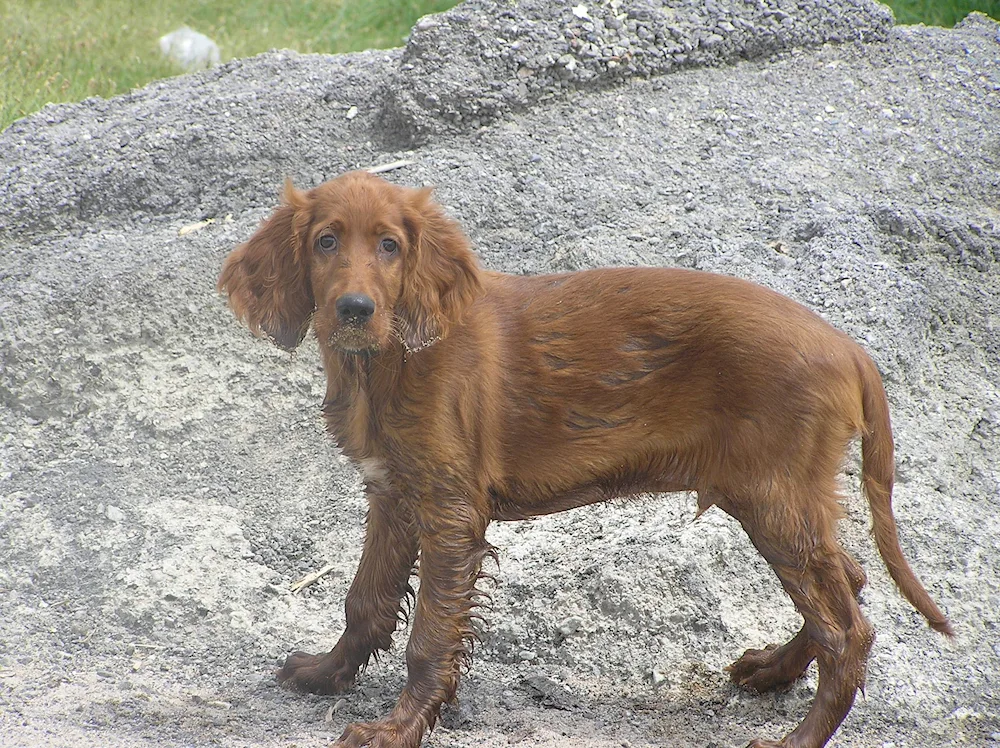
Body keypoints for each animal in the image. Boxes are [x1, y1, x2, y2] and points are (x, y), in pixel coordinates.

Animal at [219, 171, 952, 748]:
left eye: (391, 246)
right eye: (326, 241)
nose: (353, 309)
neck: (388, 360)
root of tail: (847, 347)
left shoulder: (451, 513)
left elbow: (428, 634)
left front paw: (397, 729)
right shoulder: (394, 495)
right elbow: (365, 601)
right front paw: (326, 673)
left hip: (775, 498)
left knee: (847, 631)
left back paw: (796, 738)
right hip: (781, 498)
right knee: (849, 579)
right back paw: (773, 669)